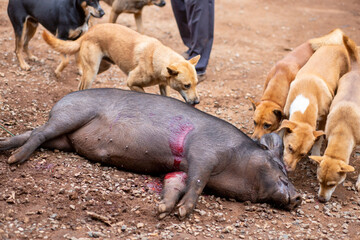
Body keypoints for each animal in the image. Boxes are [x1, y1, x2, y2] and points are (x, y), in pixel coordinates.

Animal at [0, 88, 300, 219]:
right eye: (280, 167)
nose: (298, 197)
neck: (235, 162)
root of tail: (59, 101)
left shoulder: (179, 168)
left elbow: (176, 183)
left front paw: (163, 209)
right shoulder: (205, 153)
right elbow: (198, 182)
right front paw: (182, 212)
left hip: (64, 139)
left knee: (32, 132)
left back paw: (4, 148)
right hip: (71, 116)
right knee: (38, 133)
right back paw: (15, 160)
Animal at [42, 23, 201, 104]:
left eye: (196, 84)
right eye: (186, 85)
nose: (197, 102)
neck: (155, 56)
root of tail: (89, 31)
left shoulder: (163, 85)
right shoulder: (131, 82)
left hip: (102, 66)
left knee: (80, 81)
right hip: (92, 71)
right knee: (82, 86)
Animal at [278, 34, 352, 172]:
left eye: (303, 154)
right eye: (290, 148)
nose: (288, 169)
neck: (307, 94)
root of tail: (337, 44)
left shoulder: (324, 118)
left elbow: (318, 139)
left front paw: (316, 153)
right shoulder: (286, 113)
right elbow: (281, 130)